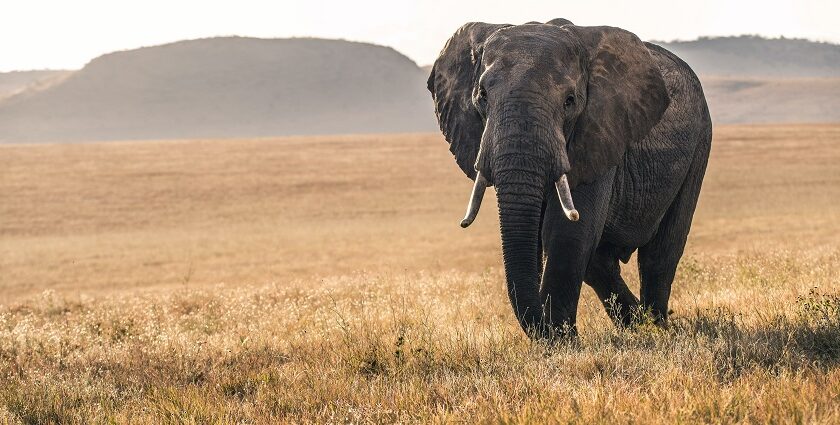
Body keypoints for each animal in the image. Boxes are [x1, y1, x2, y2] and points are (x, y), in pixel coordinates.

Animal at [430, 19, 712, 338]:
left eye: (570, 101)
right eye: (482, 96)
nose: (545, 328)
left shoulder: (599, 130)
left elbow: (567, 232)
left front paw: (562, 341)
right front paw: (559, 337)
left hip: (700, 142)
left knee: (661, 253)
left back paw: (657, 327)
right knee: (600, 263)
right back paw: (636, 325)